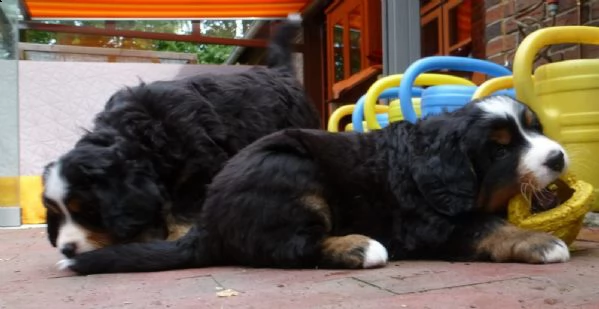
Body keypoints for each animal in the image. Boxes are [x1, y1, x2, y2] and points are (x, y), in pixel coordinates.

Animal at [41, 15, 322, 260]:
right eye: (56, 212)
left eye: (88, 210)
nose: (66, 249)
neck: (145, 134)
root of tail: (281, 73)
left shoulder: (199, 171)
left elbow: (182, 213)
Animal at [56, 95, 572, 274]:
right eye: (500, 150)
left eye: (535, 128)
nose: (559, 157)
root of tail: (209, 219)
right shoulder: (433, 225)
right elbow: (487, 226)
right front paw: (540, 243)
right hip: (292, 172)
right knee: (288, 248)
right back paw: (359, 247)